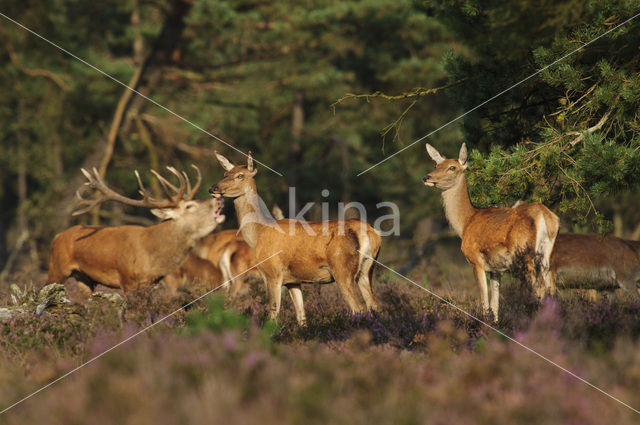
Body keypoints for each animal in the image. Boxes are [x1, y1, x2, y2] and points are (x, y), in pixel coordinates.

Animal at [47, 166, 225, 292]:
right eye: (189, 206)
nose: (219, 200)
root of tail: (56, 237)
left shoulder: (153, 284)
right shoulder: (127, 281)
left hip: (85, 278)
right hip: (57, 268)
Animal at [210, 151, 380, 322]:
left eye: (240, 175)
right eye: (225, 174)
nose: (213, 188)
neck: (258, 234)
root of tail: (370, 233)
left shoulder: (272, 273)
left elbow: (273, 314)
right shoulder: (293, 281)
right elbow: (301, 316)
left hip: (342, 269)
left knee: (359, 308)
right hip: (367, 270)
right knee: (374, 306)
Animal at [424, 142, 560, 318]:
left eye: (452, 167)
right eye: (436, 165)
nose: (427, 177)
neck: (466, 222)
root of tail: (544, 216)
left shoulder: (475, 260)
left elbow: (484, 302)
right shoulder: (496, 269)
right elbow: (495, 306)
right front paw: (494, 323)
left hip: (525, 254)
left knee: (541, 290)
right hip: (547, 255)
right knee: (553, 291)